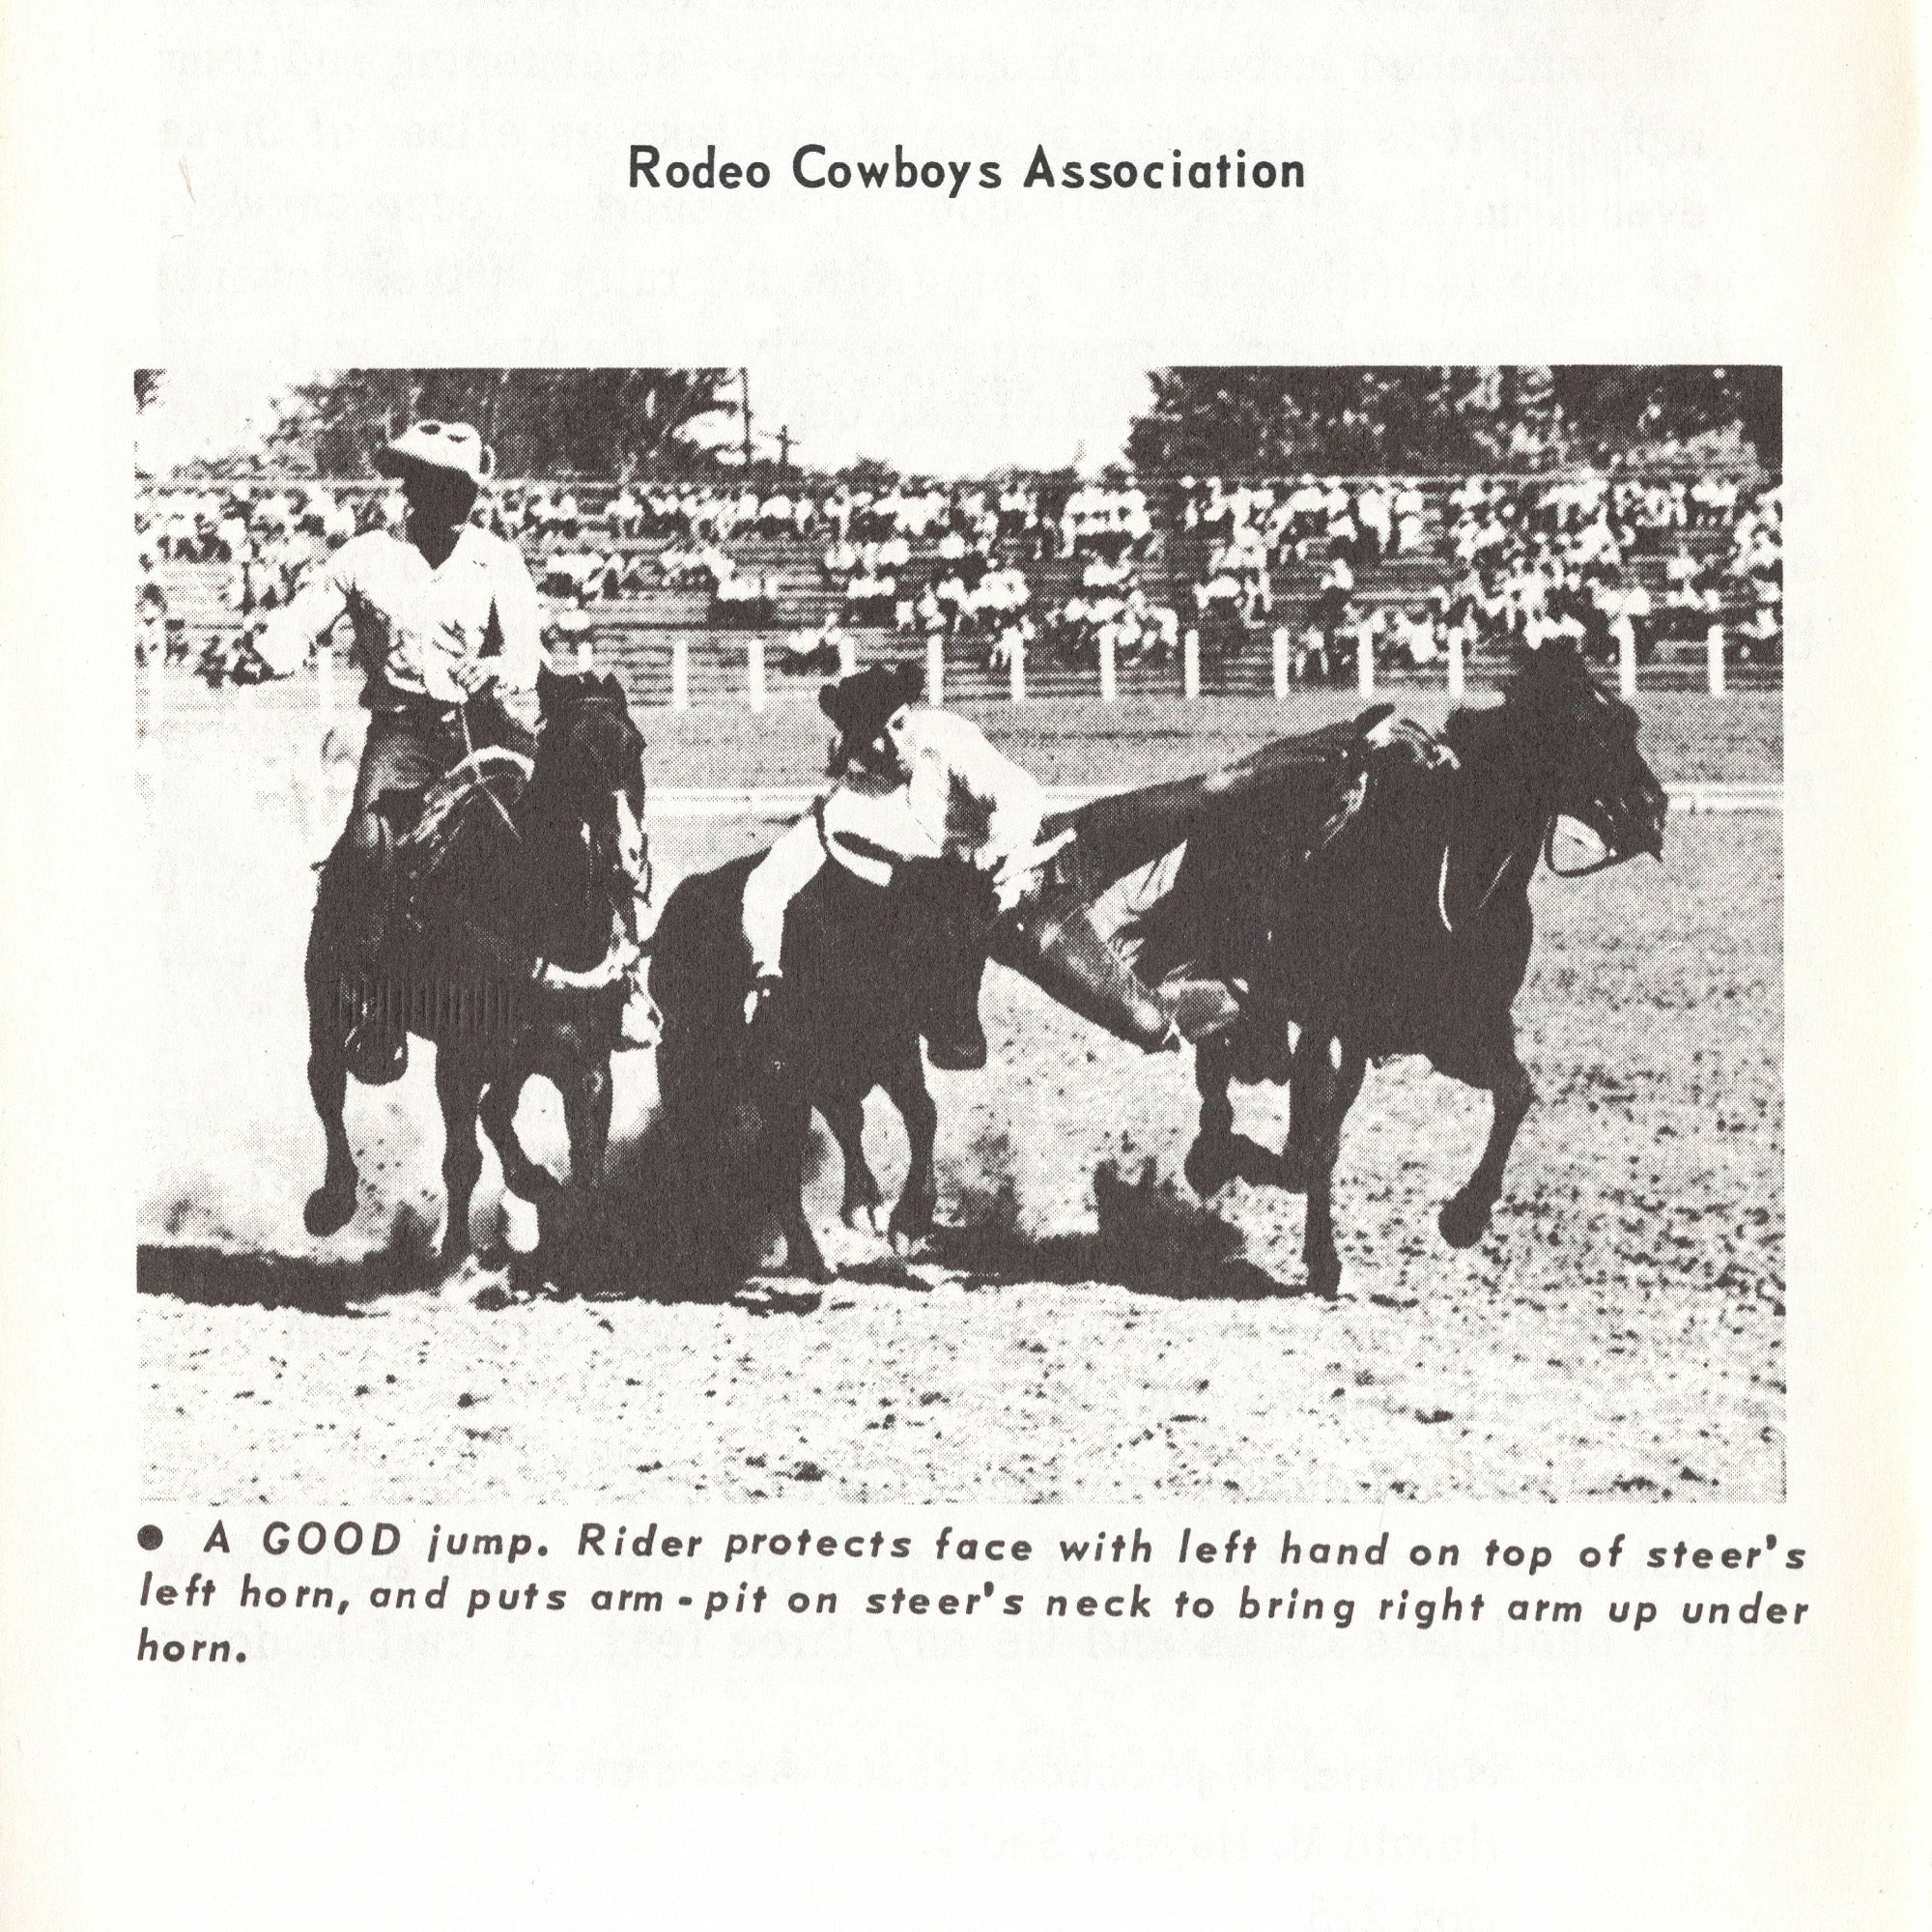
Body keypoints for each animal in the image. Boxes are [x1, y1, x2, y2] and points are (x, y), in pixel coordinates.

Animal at [299, 668, 649, 1267]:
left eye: (637, 746)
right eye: (574, 753)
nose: (626, 857)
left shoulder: (586, 1062)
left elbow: (588, 1165)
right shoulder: (459, 1057)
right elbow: (461, 1160)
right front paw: (456, 1256)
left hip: (514, 1053)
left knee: (497, 1111)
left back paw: (533, 1180)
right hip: (330, 997)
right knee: (327, 1079)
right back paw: (333, 1200)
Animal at [653, 850, 997, 1283]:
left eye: (984, 937)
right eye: (916, 940)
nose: (964, 1051)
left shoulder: (893, 1051)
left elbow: (920, 1113)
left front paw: (907, 1221)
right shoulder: (787, 1079)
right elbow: (785, 1160)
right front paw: (817, 1251)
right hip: (682, 1065)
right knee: (692, 1144)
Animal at [1136, 645, 1669, 1298]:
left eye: (1630, 724)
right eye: (1582, 730)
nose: (1652, 810)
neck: (1454, 881)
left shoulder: (1454, 1033)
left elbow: (1514, 1091)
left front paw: (1465, 1216)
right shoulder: (1334, 1023)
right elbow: (1309, 1147)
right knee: (1226, 1066)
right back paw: (1214, 1153)